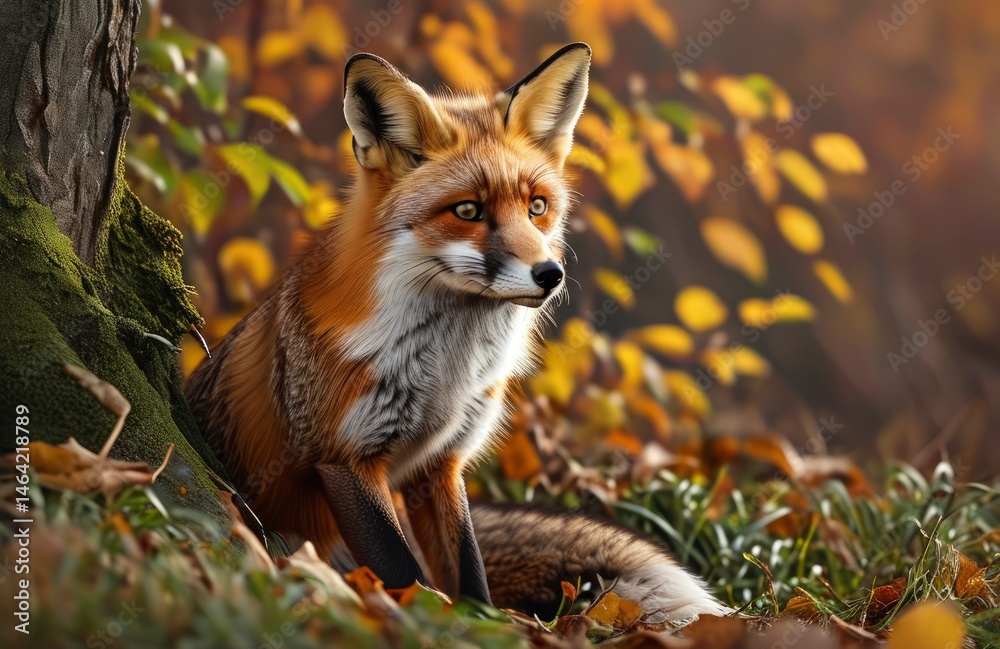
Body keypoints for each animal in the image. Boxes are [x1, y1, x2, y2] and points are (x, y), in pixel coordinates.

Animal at [186, 43, 729, 623]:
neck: (446, 373)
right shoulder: (343, 456)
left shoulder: (443, 462)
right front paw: (428, 622)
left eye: (537, 207)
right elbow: (405, 573)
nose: (550, 275)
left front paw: (484, 623)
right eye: (468, 210)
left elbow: (469, 572)